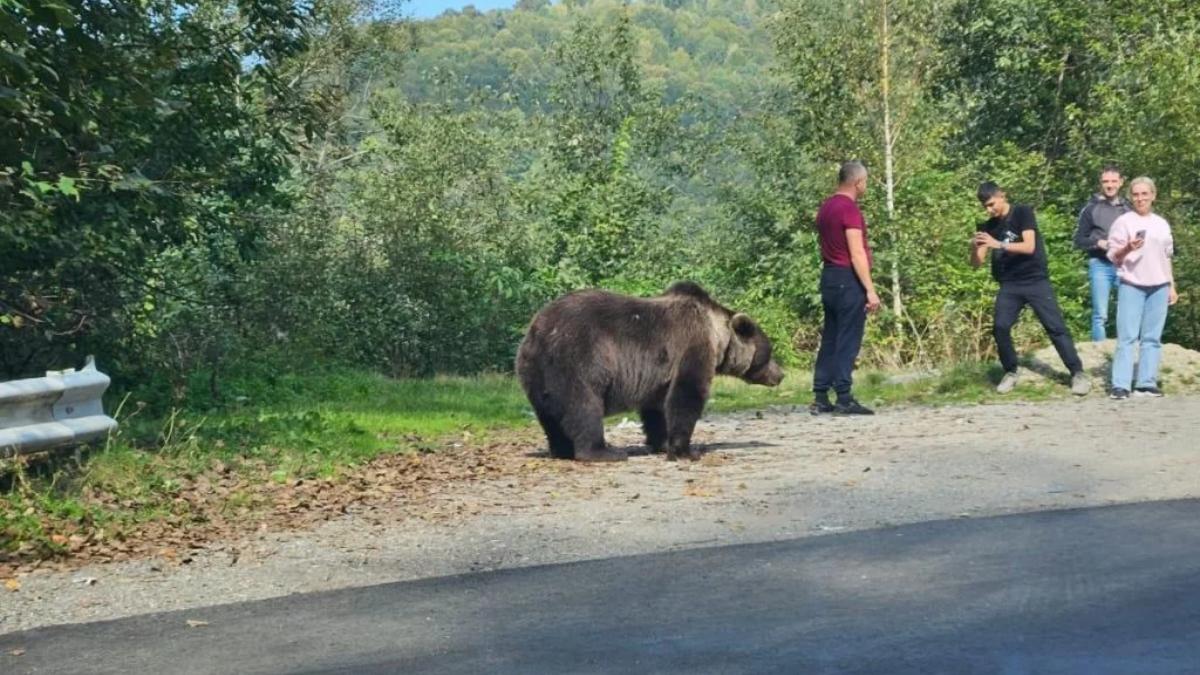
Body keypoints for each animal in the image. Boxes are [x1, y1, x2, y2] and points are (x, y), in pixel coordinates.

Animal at [518, 281, 787, 458]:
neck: (718, 337)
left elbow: (656, 408)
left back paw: (562, 449)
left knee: (548, 415)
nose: (780, 374)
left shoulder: (658, 373)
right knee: (584, 406)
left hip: (534, 372)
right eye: (769, 353)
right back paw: (602, 452)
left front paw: (663, 442)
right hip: (579, 359)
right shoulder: (692, 347)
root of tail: (538, 330)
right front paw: (686, 449)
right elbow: (688, 394)